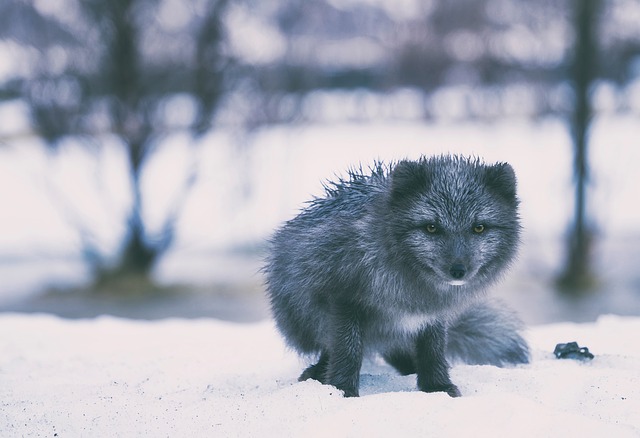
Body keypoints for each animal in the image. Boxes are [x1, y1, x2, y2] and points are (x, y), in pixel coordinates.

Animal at [264, 155, 529, 397]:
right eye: (431, 227)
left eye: (479, 228)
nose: (458, 270)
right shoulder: (342, 297)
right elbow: (348, 350)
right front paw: (341, 391)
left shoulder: (432, 315)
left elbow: (433, 351)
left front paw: (437, 388)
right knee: (330, 348)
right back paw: (318, 373)